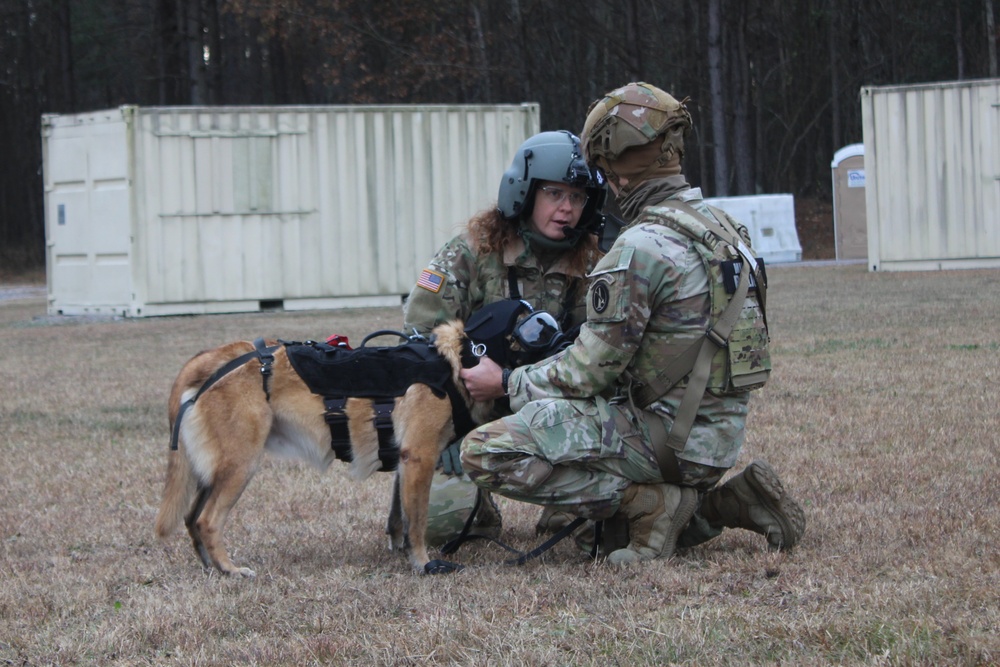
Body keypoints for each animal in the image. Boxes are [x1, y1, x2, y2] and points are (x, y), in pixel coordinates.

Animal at [154, 320, 494, 576]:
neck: (457, 359)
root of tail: (214, 357)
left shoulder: (404, 463)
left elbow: (399, 517)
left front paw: (401, 551)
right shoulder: (420, 458)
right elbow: (418, 522)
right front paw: (424, 564)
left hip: (214, 471)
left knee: (191, 518)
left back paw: (211, 567)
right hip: (240, 465)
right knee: (207, 520)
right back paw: (230, 570)